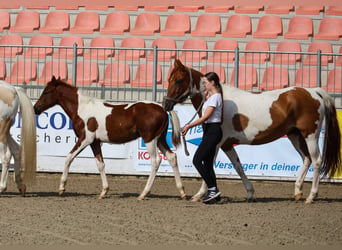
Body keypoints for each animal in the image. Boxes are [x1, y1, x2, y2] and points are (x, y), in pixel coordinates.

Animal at [33, 76, 186, 199]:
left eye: (46, 92)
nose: (36, 108)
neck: (82, 109)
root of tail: (163, 109)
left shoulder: (85, 139)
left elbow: (68, 158)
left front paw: (62, 187)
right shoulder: (95, 142)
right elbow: (100, 164)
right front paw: (104, 191)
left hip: (150, 140)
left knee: (155, 161)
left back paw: (144, 193)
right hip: (160, 140)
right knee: (172, 157)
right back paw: (182, 192)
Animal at [164, 59, 340, 204]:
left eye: (179, 80)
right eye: (169, 79)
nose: (166, 104)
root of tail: (314, 92)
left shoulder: (216, 144)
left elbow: (208, 166)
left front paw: (201, 194)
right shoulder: (227, 144)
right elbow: (238, 166)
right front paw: (250, 193)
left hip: (310, 136)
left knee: (316, 161)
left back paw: (311, 196)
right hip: (295, 135)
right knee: (306, 159)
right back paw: (297, 191)